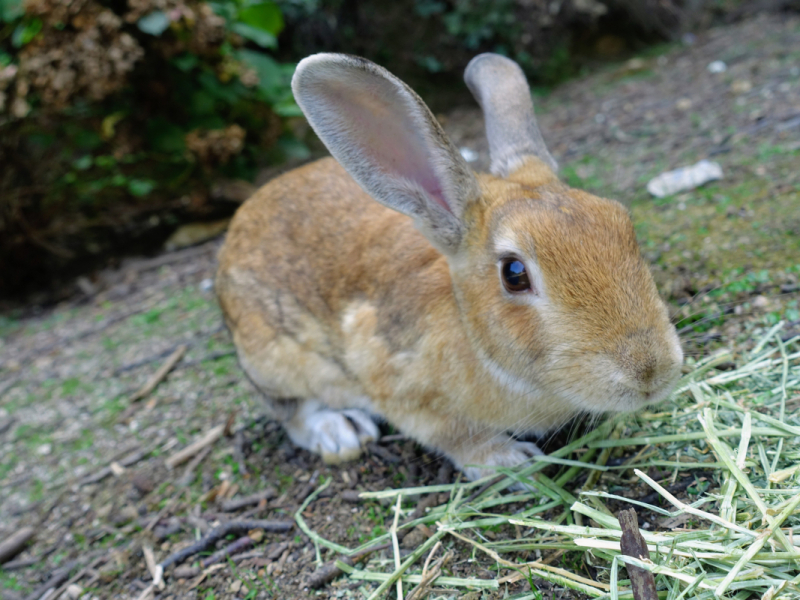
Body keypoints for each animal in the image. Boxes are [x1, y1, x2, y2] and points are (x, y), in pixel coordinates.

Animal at [215, 52, 683, 482]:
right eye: (514, 274)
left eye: (622, 222)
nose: (649, 371)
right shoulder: (397, 384)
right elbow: (452, 434)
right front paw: (508, 460)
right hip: (274, 360)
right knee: (293, 412)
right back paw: (340, 431)